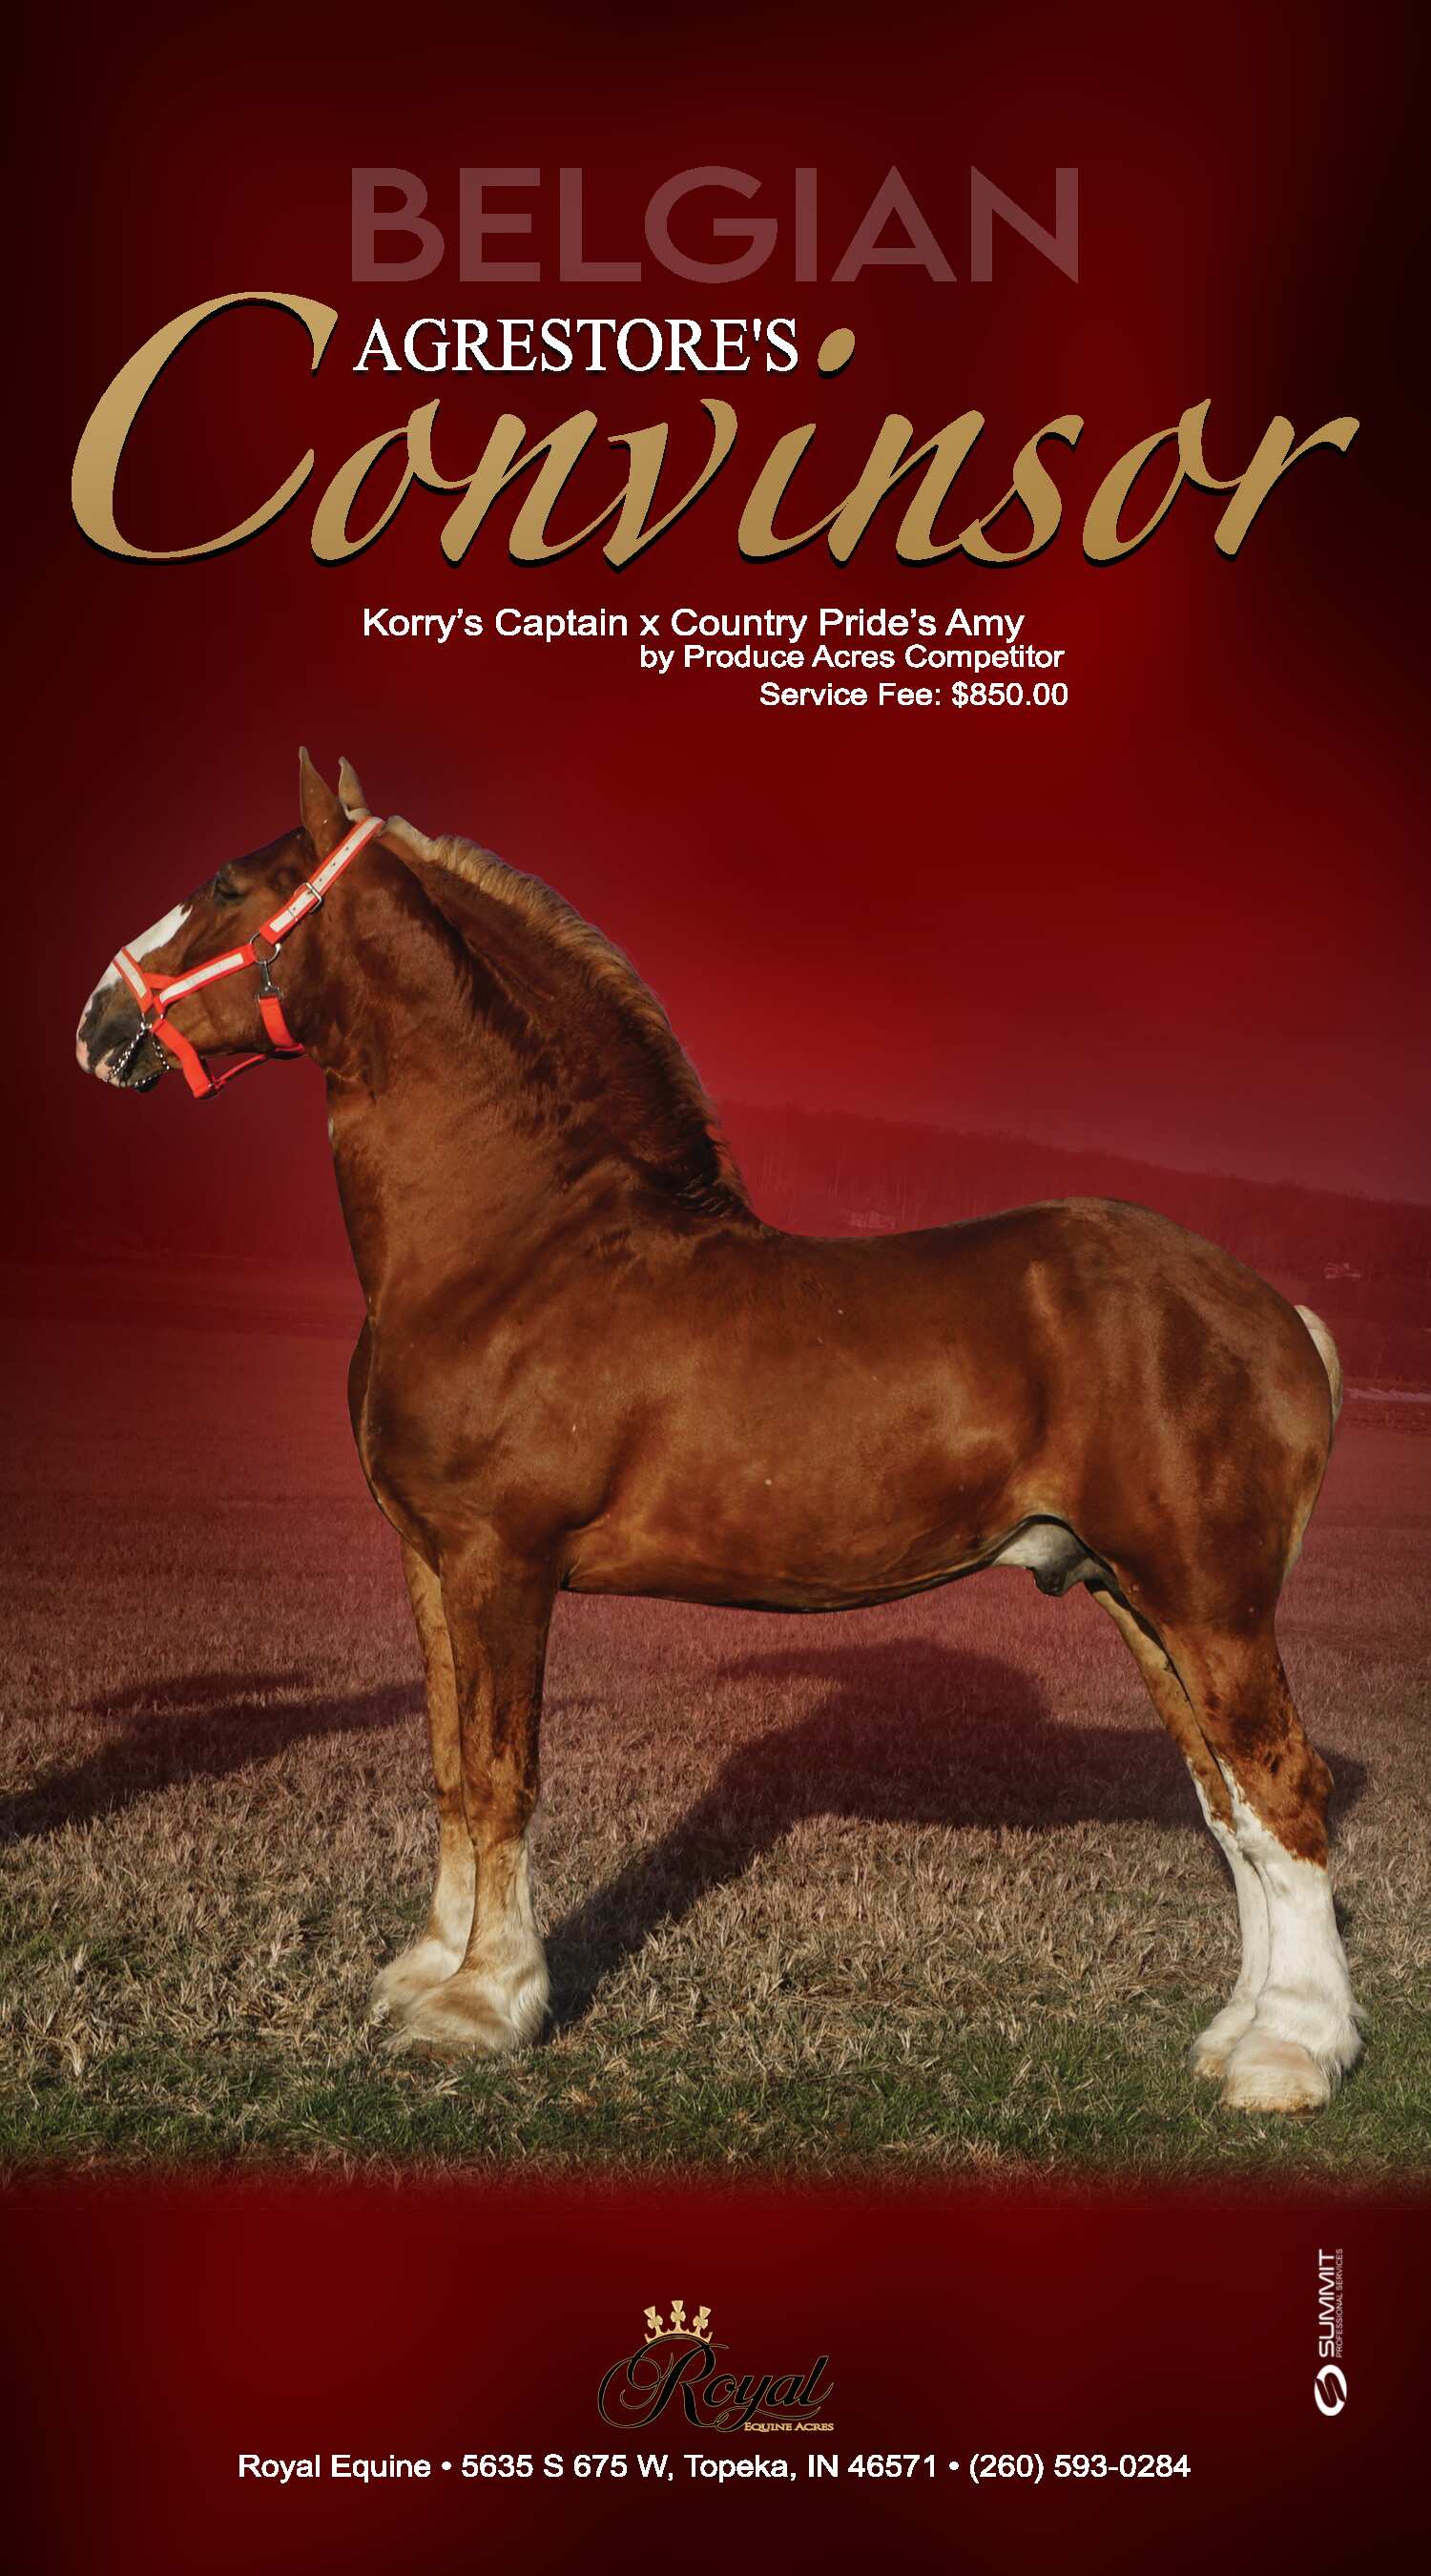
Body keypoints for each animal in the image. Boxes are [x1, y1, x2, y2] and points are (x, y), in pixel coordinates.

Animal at [75, 749, 1361, 2114]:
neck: (516, 1247)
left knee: (1286, 1791)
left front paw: (483, 2008)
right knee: (1229, 1805)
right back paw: (1238, 2035)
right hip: (1137, 1597)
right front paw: (426, 1974)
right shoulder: (429, 1563)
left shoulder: (500, 1565)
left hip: (1209, 1603)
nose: (97, 1022)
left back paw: (1290, 2055)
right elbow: (449, 1771)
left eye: (229, 883)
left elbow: (503, 1774)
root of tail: (1276, 1311)